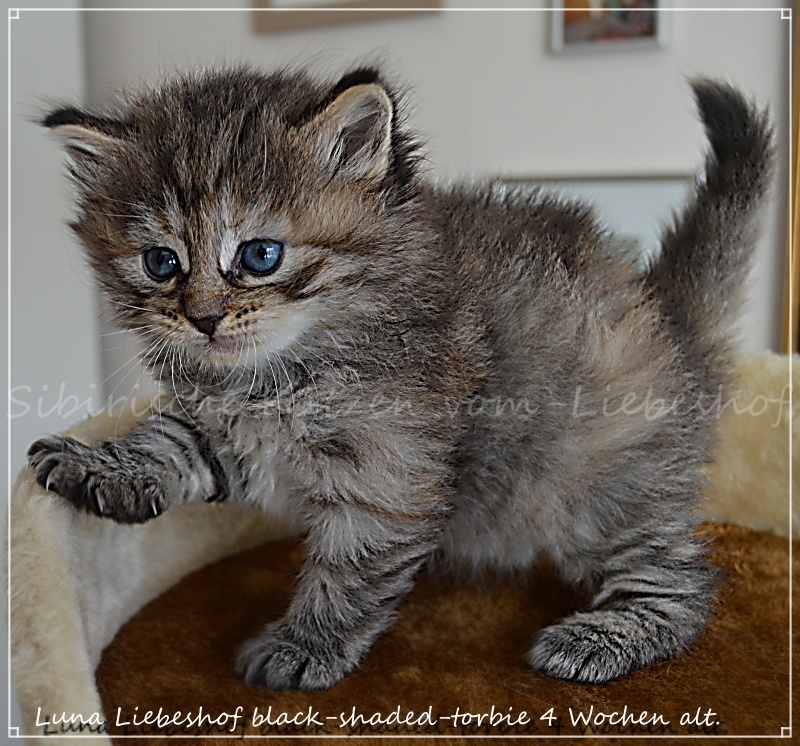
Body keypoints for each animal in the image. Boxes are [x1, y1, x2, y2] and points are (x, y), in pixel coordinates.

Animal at [27, 66, 772, 690]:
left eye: (260, 255)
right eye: (161, 263)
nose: (204, 319)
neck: (274, 376)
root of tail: (663, 311)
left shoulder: (388, 473)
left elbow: (348, 573)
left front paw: (304, 647)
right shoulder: (227, 430)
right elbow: (165, 441)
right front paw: (97, 465)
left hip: (598, 485)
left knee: (685, 578)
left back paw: (604, 637)